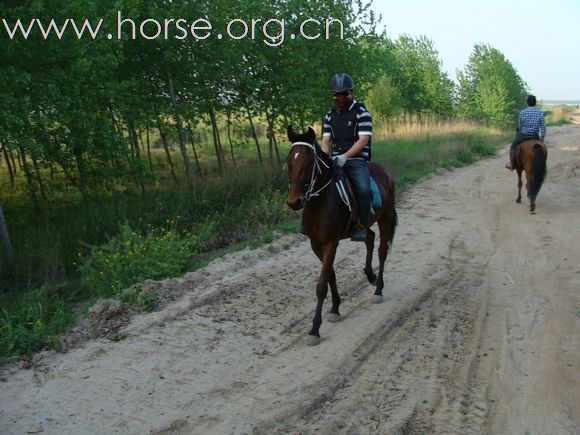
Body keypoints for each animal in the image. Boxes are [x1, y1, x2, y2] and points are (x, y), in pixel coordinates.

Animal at [286, 127, 398, 348]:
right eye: (289, 161)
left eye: (309, 163)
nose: (294, 202)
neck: (321, 201)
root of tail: (385, 172)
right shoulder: (316, 244)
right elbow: (330, 275)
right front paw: (335, 308)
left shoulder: (331, 243)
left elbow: (321, 285)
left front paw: (314, 329)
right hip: (363, 225)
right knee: (369, 237)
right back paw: (370, 276)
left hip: (385, 217)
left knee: (382, 251)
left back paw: (378, 289)